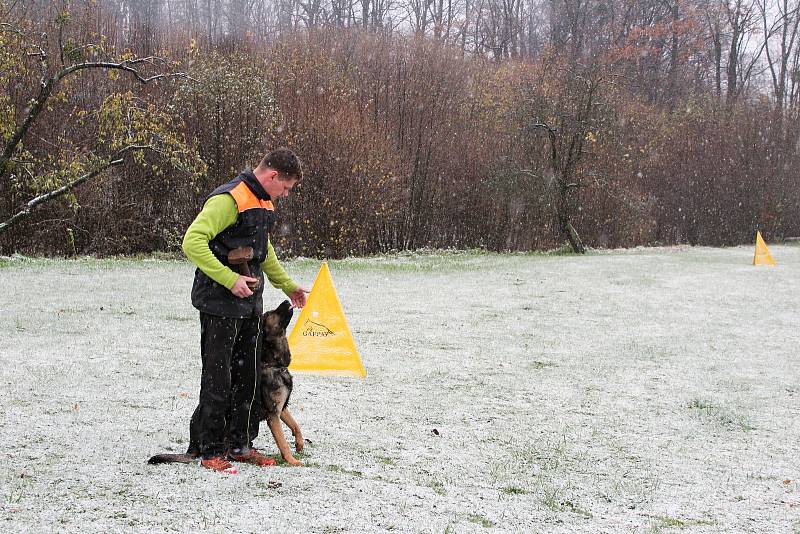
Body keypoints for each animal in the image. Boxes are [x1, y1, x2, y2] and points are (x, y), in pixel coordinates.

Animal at [148, 302, 304, 468]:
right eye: (269, 314)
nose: (287, 302)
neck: (273, 364)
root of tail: (192, 447)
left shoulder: (281, 408)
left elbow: (295, 424)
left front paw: (299, 443)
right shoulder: (273, 416)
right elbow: (283, 443)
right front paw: (293, 461)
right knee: (227, 451)